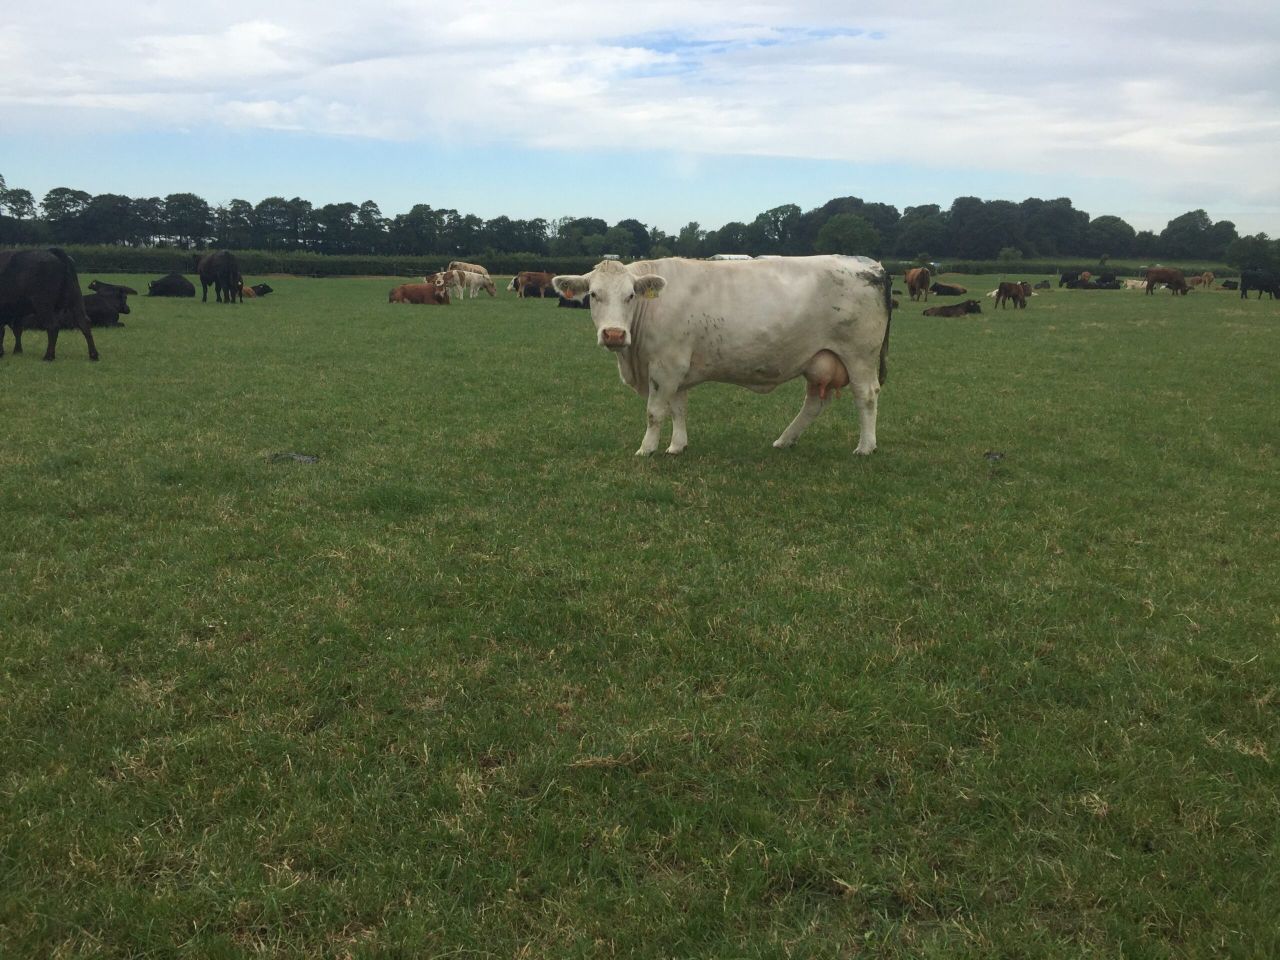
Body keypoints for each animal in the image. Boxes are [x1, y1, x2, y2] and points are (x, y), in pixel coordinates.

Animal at [551, 256, 891, 457]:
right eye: (594, 294)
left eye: (630, 295)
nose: (613, 334)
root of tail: (869, 264)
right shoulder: (677, 368)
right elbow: (678, 409)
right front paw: (677, 445)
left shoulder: (665, 366)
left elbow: (655, 412)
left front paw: (646, 449)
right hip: (818, 359)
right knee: (814, 403)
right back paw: (785, 439)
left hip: (859, 355)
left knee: (866, 395)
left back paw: (866, 446)